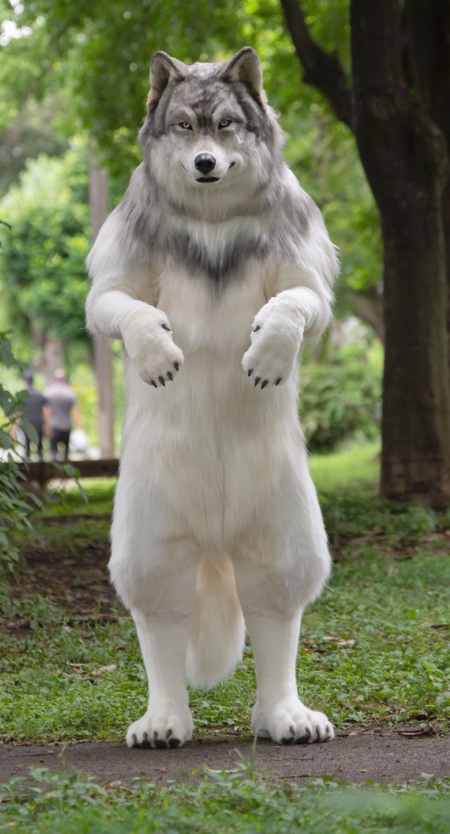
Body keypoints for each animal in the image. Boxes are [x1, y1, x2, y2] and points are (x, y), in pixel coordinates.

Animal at [86, 47, 339, 748]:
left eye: (225, 125)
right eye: (183, 127)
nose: (204, 163)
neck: (212, 219)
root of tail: (216, 535)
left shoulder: (303, 269)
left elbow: (296, 303)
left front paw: (270, 349)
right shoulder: (118, 273)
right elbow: (119, 305)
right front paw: (155, 350)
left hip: (282, 519)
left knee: (274, 602)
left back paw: (283, 714)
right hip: (152, 532)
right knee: (162, 613)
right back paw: (164, 719)